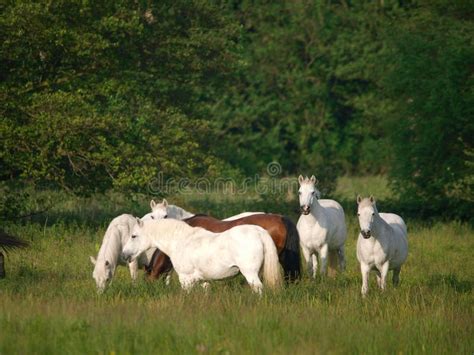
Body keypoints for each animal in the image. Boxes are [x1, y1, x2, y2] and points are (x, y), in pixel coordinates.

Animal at [122, 220, 284, 294]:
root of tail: (259, 231)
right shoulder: (204, 280)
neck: (182, 241)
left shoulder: (186, 279)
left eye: (133, 236)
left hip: (250, 274)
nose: (124, 254)